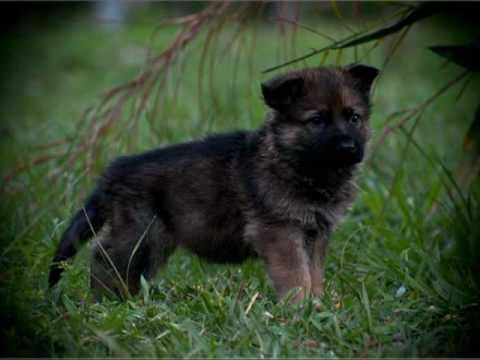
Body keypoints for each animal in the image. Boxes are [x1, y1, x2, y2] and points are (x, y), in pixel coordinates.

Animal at [48, 64, 378, 300]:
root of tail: (113, 174)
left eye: (354, 118)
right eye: (317, 120)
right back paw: (104, 302)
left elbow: (314, 273)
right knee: (103, 256)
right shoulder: (280, 232)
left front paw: (318, 306)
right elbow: (297, 276)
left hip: (154, 240)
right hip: (140, 231)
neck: (295, 162)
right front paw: (300, 310)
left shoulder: (316, 234)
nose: (349, 147)